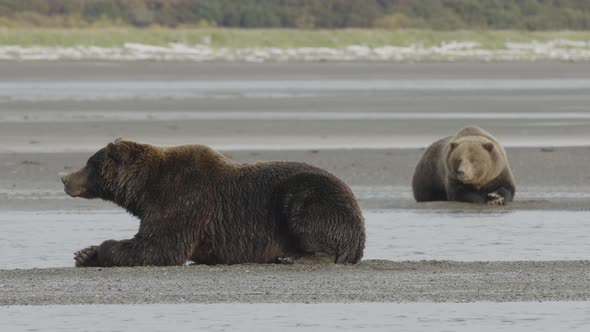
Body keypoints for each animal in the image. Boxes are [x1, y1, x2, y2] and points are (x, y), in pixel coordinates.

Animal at [61, 139, 366, 268]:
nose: (64, 178)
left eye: (89, 163)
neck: (145, 188)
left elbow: (159, 245)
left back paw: (293, 256)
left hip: (311, 197)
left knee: (309, 218)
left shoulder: (183, 199)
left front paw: (99, 249)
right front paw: (84, 253)